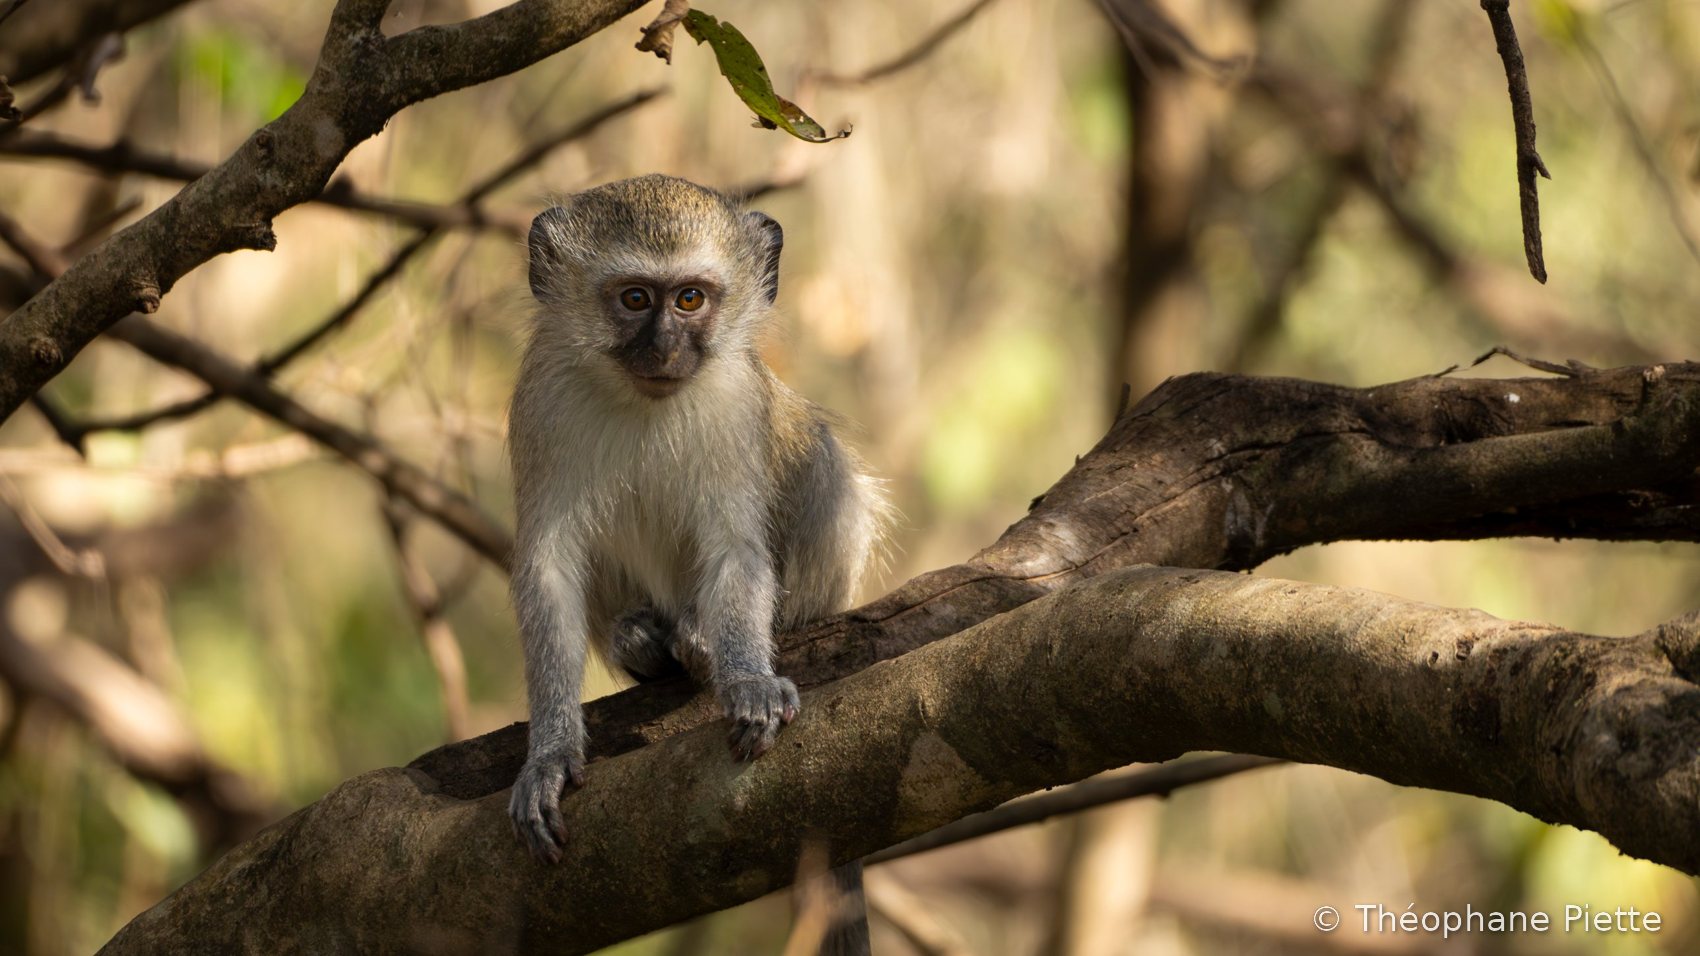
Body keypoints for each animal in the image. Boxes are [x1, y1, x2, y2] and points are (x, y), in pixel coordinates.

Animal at [507, 174, 887, 869]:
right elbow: (549, 568)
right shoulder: (542, 398)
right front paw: (550, 751)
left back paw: (706, 636)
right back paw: (642, 638)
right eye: (635, 299)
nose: (665, 346)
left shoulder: (737, 400)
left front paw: (748, 680)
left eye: (690, 299)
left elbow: (736, 550)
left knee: (819, 456)